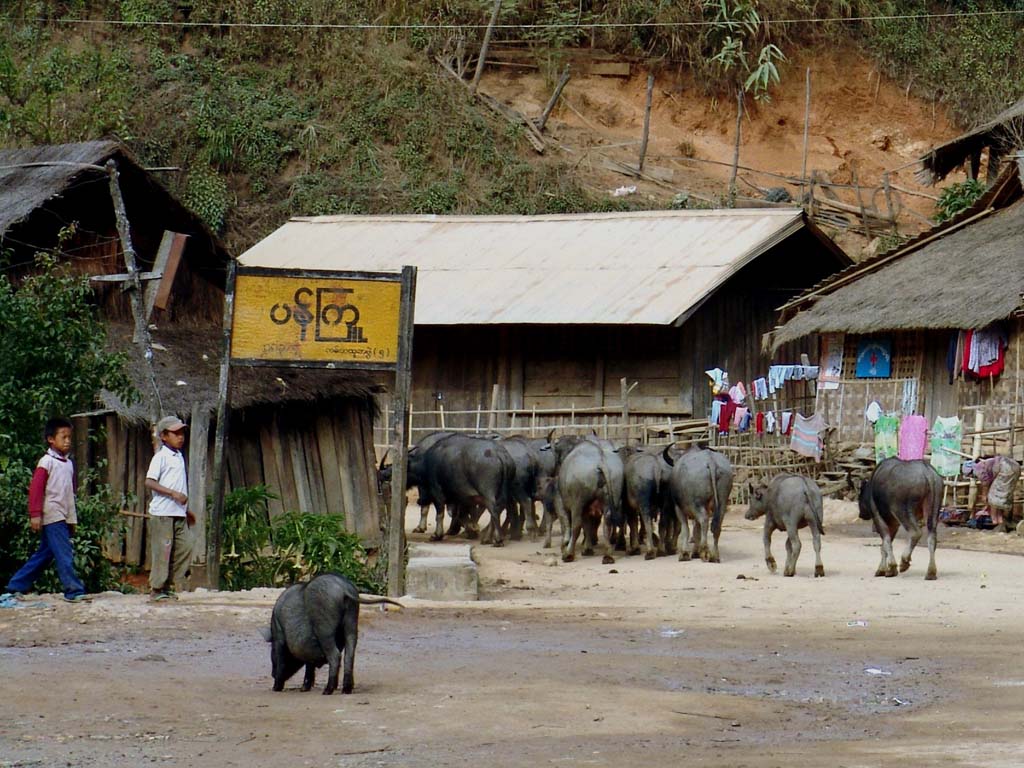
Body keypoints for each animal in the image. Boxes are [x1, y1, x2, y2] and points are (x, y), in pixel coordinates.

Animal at [262, 577, 401, 696]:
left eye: (271, 652)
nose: (272, 674)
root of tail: (343, 588)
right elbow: (309, 666)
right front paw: (303, 689)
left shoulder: (280, 637)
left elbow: (283, 661)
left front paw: (276, 688)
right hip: (352, 620)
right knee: (349, 655)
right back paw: (346, 690)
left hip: (325, 629)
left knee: (335, 656)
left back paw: (327, 691)